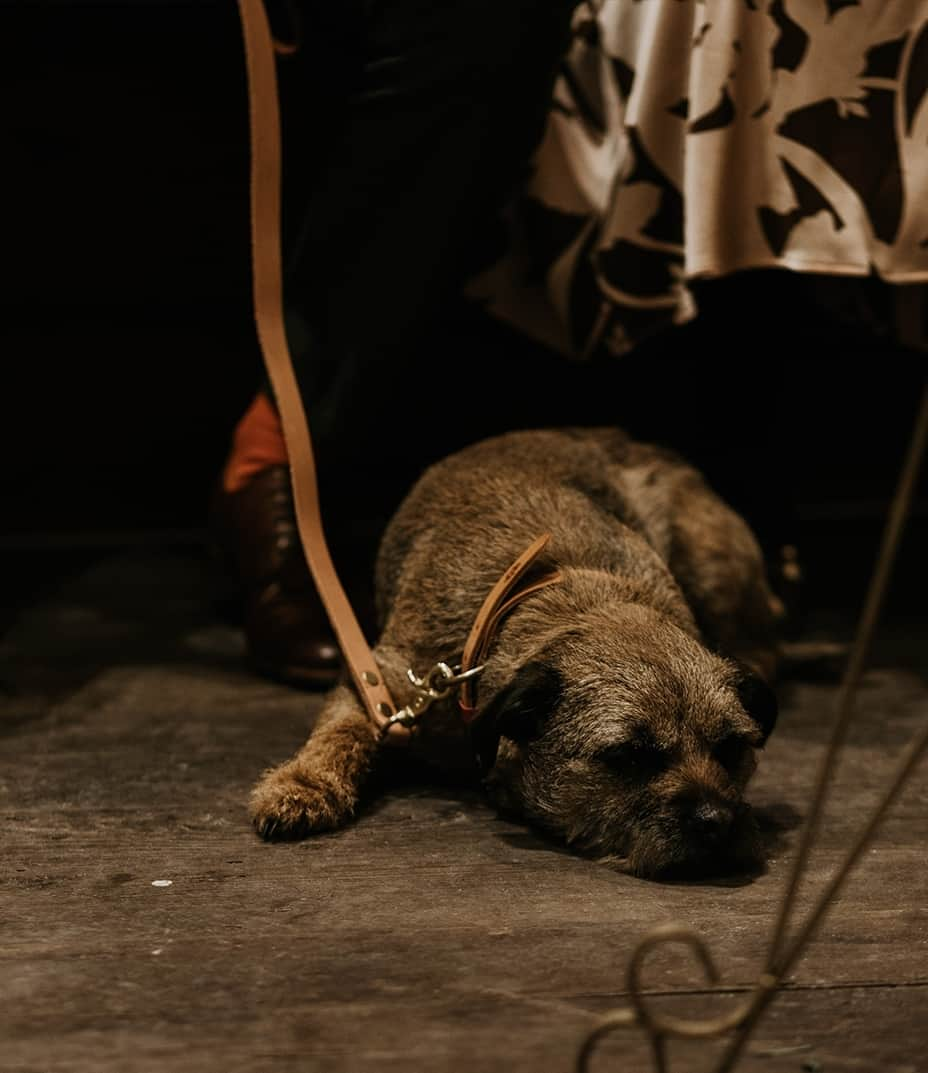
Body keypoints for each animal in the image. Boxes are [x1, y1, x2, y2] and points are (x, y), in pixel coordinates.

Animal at [249, 427, 776, 879]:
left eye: (731, 749)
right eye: (629, 757)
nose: (717, 820)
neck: (567, 591)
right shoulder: (382, 680)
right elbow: (342, 732)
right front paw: (302, 784)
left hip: (712, 560)